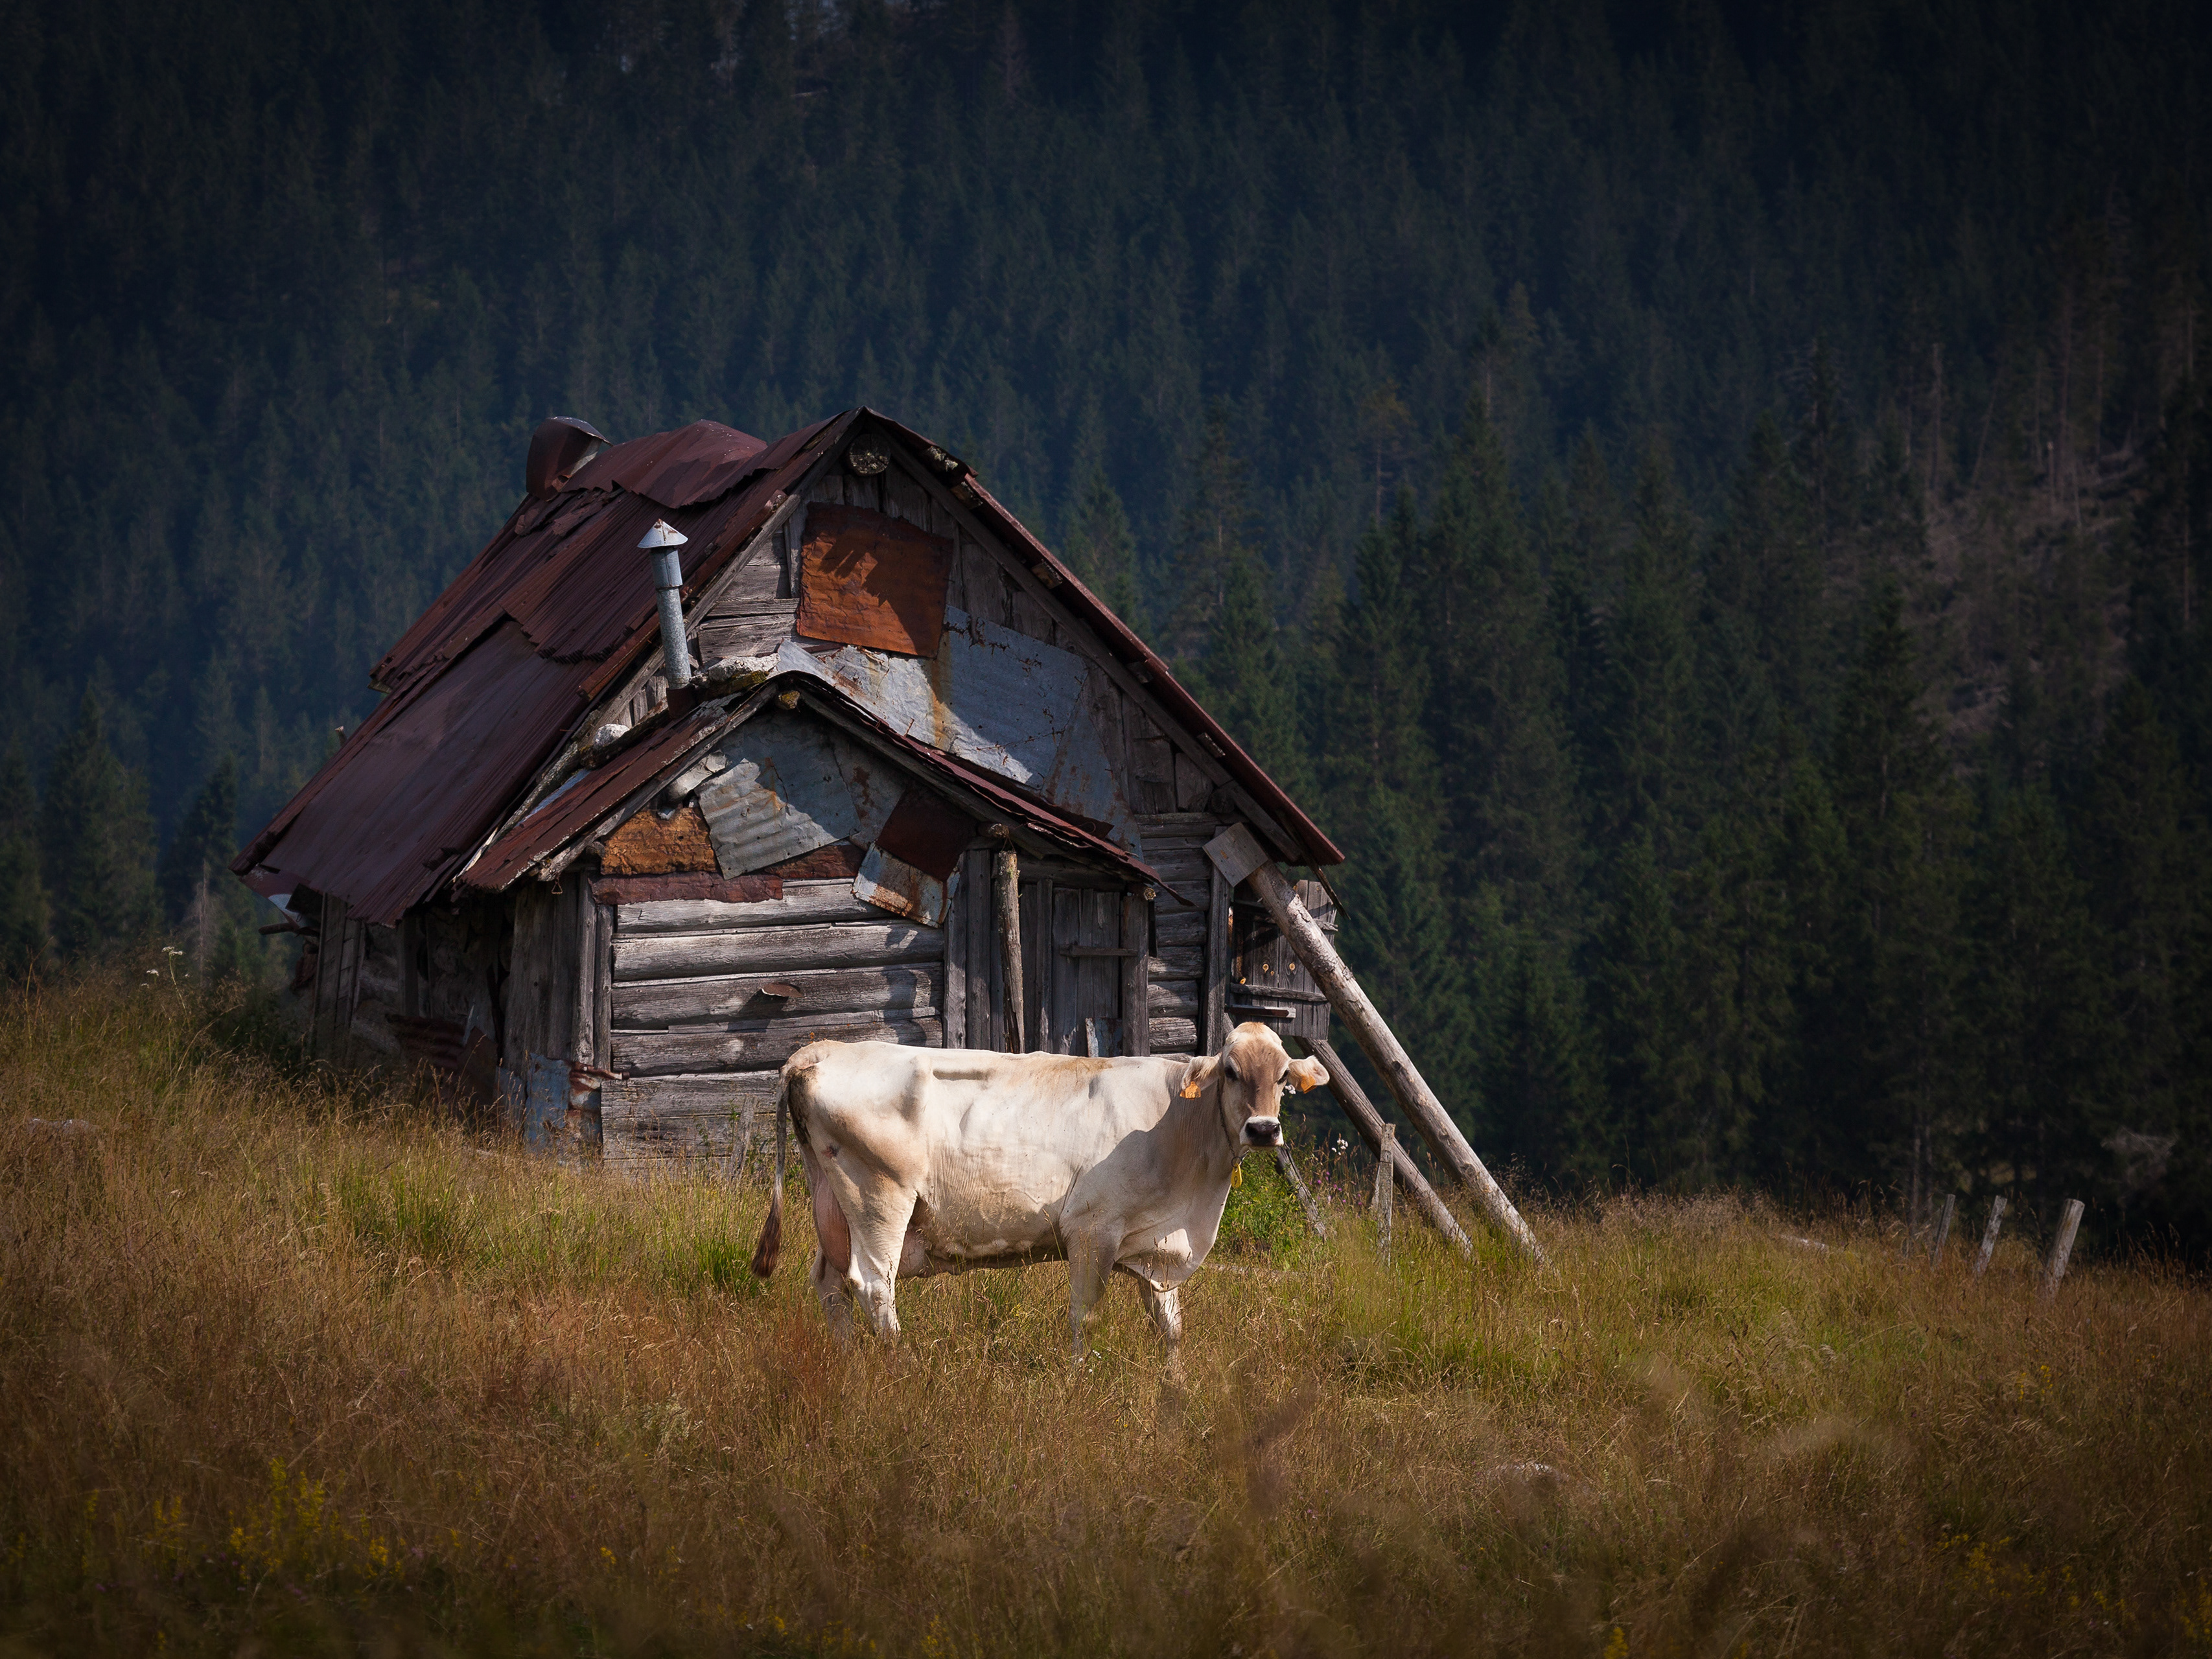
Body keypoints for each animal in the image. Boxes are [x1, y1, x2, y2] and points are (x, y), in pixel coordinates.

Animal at [752, 1021, 1318, 1353]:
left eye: (1283, 1076)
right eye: (1231, 1071)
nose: (1263, 1130)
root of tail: (822, 1051)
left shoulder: (1155, 1241)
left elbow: (1170, 1328)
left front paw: (1173, 1403)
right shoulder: (1092, 1230)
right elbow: (1085, 1319)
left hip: (833, 1205)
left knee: (829, 1283)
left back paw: (849, 1365)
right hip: (880, 1197)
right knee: (872, 1286)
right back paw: (899, 1370)